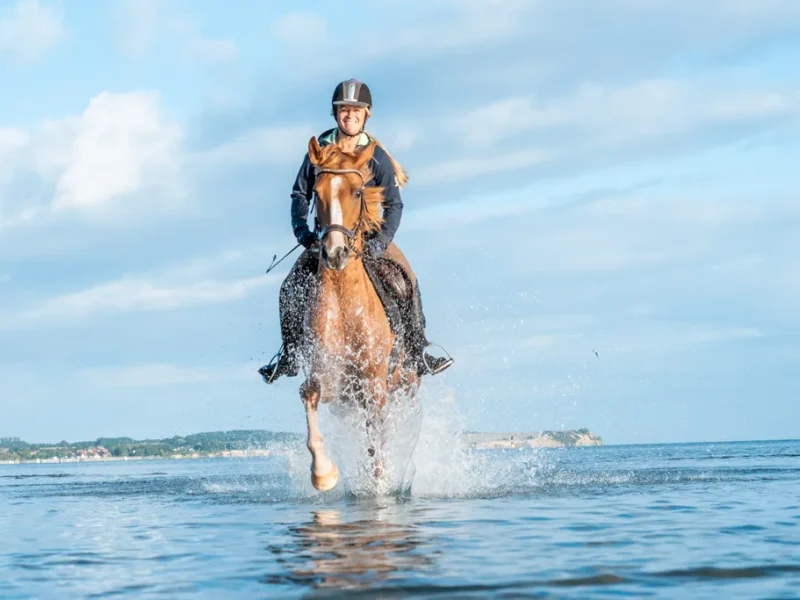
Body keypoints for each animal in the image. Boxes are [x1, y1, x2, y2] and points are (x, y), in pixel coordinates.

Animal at [298, 136, 418, 492]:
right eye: (317, 191)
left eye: (356, 192)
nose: (335, 253)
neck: (344, 302)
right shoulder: (328, 375)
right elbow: (309, 394)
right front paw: (323, 473)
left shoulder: (374, 382)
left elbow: (378, 439)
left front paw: (379, 487)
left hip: (407, 383)